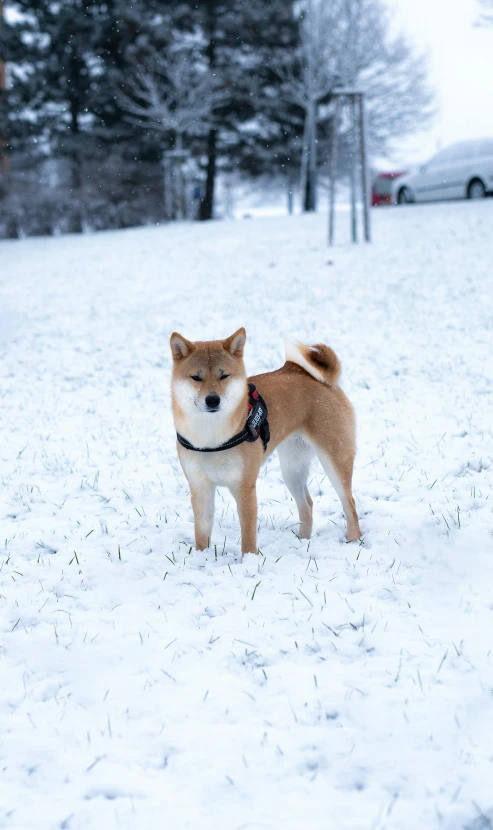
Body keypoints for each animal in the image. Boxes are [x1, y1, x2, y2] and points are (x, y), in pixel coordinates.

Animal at [171, 328, 360, 556]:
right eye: (196, 377)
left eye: (224, 375)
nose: (213, 400)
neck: (211, 438)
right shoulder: (200, 487)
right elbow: (201, 531)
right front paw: (202, 556)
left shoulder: (245, 487)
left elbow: (248, 536)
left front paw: (248, 561)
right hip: (292, 468)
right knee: (307, 504)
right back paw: (302, 541)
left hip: (334, 458)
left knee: (349, 503)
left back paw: (353, 541)